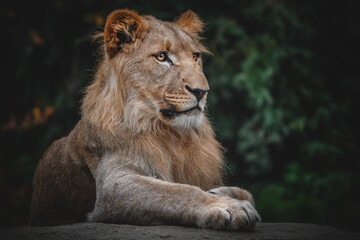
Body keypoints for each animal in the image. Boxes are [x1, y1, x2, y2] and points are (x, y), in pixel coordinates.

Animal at [29, 8, 260, 231]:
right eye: (161, 57)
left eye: (195, 56)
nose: (202, 91)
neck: (170, 134)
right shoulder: (113, 185)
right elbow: (178, 192)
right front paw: (226, 207)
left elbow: (248, 193)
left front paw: (221, 192)